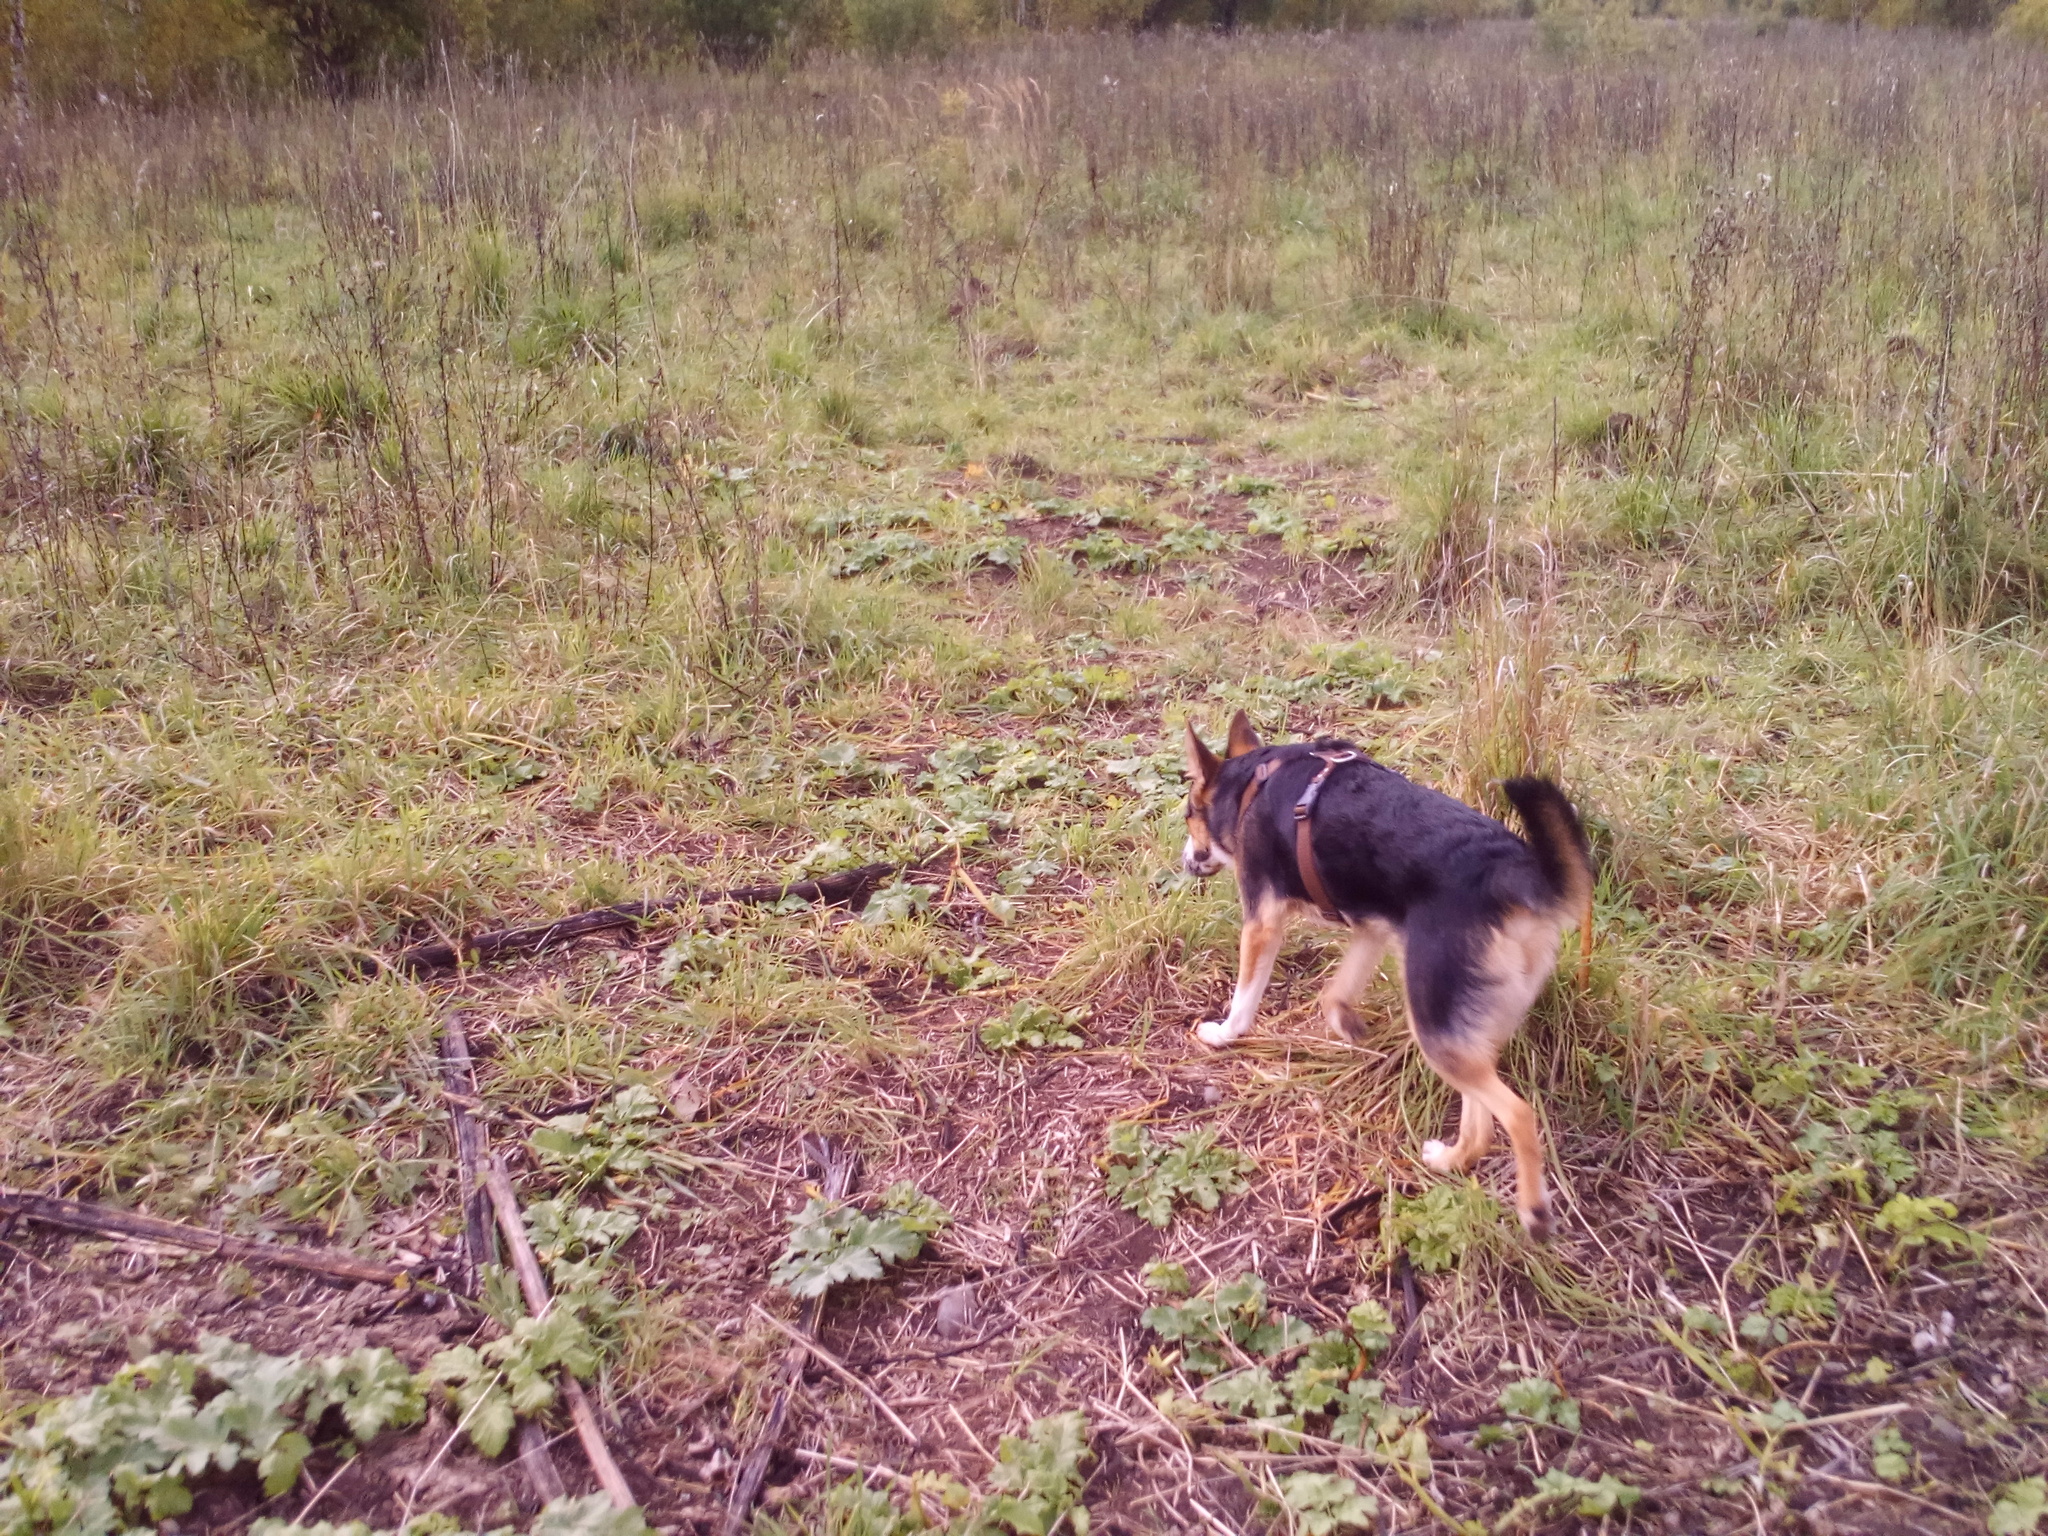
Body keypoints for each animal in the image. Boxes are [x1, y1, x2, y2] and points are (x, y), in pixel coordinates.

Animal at [1179, 716, 1589, 1245]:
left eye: (1187, 813)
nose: (1187, 858)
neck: (1254, 781)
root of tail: (1514, 878)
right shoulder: (1372, 930)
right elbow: (1333, 993)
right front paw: (1348, 1025)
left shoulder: (1263, 922)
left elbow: (1245, 998)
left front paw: (1225, 1034)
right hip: (1457, 1024)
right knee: (1480, 1122)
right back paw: (1451, 1159)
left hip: (1436, 1024)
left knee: (1517, 1114)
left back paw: (1533, 1210)